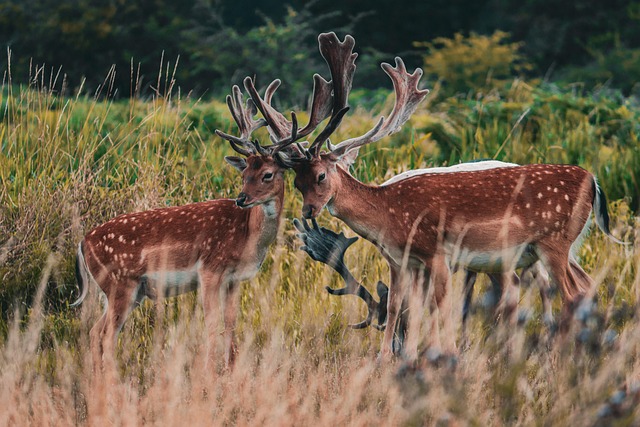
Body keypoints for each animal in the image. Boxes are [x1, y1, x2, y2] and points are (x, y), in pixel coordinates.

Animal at [269, 34, 624, 361]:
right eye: (296, 182)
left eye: (320, 175)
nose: (309, 211)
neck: (388, 212)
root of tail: (593, 181)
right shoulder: (401, 262)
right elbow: (399, 306)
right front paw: (388, 359)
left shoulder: (438, 252)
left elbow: (441, 306)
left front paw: (445, 354)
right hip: (561, 247)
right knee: (586, 287)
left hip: (553, 241)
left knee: (572, 295)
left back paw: (560, 355)